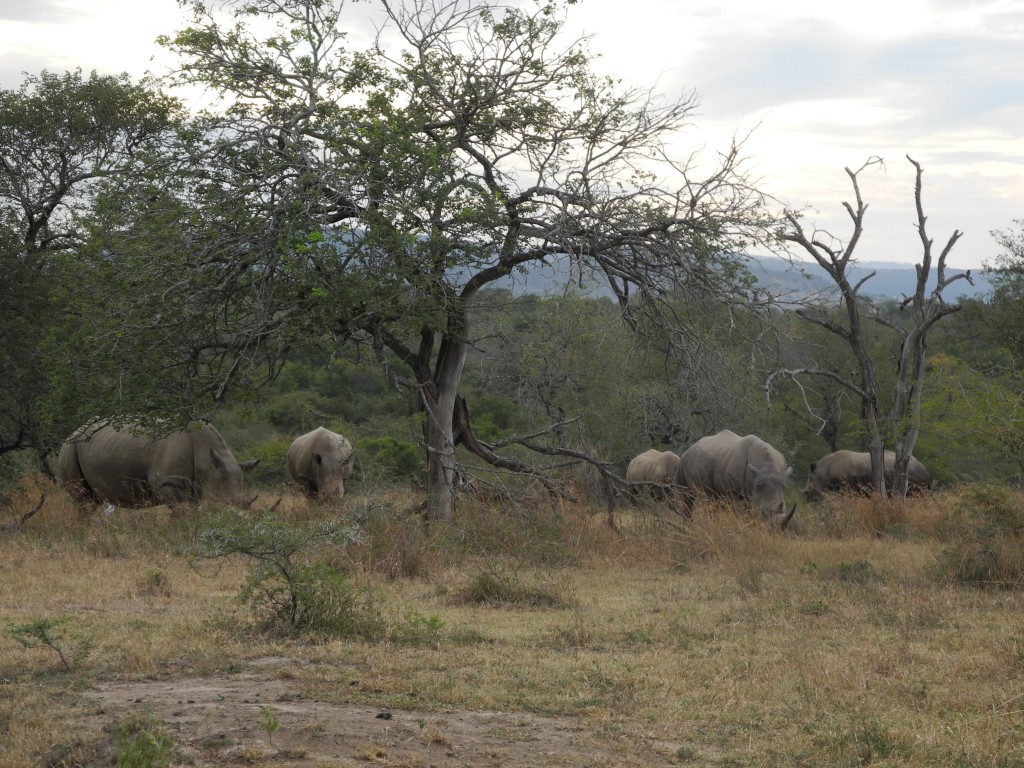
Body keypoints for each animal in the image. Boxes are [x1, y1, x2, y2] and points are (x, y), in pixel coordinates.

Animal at [58, 421, 258, 512]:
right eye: (222, 505)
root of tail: (73, 431)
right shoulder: (167, 482)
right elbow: (182, 511)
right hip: (69, 448)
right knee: (85, 501)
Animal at [802, 448, 933, 501]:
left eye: (811, 479)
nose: (805, 493)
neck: (823, 470)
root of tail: (925, 469)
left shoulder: (847, 487)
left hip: (913, 473)